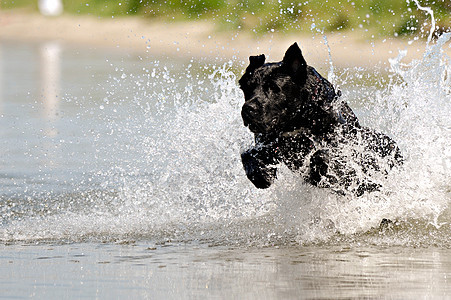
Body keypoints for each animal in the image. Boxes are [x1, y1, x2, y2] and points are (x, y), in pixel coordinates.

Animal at [240, 42, 402, 197]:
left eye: (274, 87)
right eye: (247, 88)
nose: (248, 109)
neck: (298, 121)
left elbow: (323, 155)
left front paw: (318, 174)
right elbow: (247, 155)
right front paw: (261, 175)